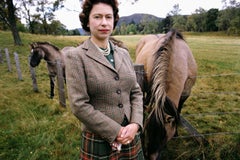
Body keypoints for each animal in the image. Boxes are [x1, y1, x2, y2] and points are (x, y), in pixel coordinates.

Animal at [135, 29, 197, 159]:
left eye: (163, 135)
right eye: (147, 131)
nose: (150, 157)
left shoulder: (185, 94)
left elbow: (178, 111)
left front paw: (176, 133)